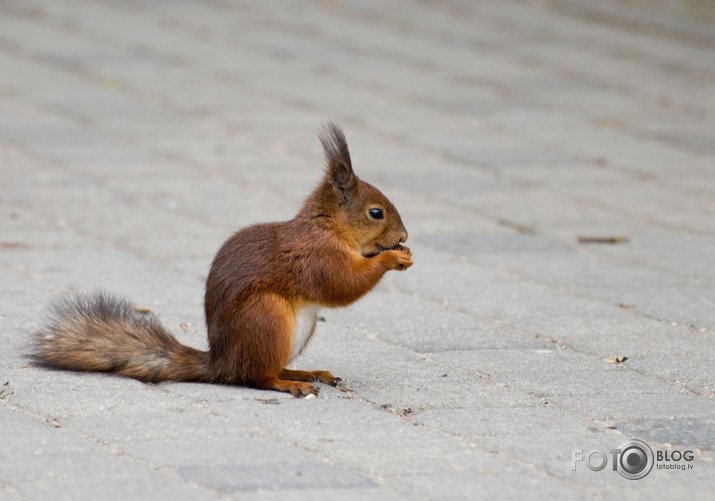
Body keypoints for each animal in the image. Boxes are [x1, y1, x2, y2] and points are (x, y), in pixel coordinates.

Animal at [35, 123, 414, 396]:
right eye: (376, 213)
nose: (404, 236)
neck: (329, 228)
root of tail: (223, 363)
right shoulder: (316, 257)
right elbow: (342, 285)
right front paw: (392, 259)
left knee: (265, 370)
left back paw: (308, 371)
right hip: (266, 318)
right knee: (258, 377)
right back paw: (290, 383)